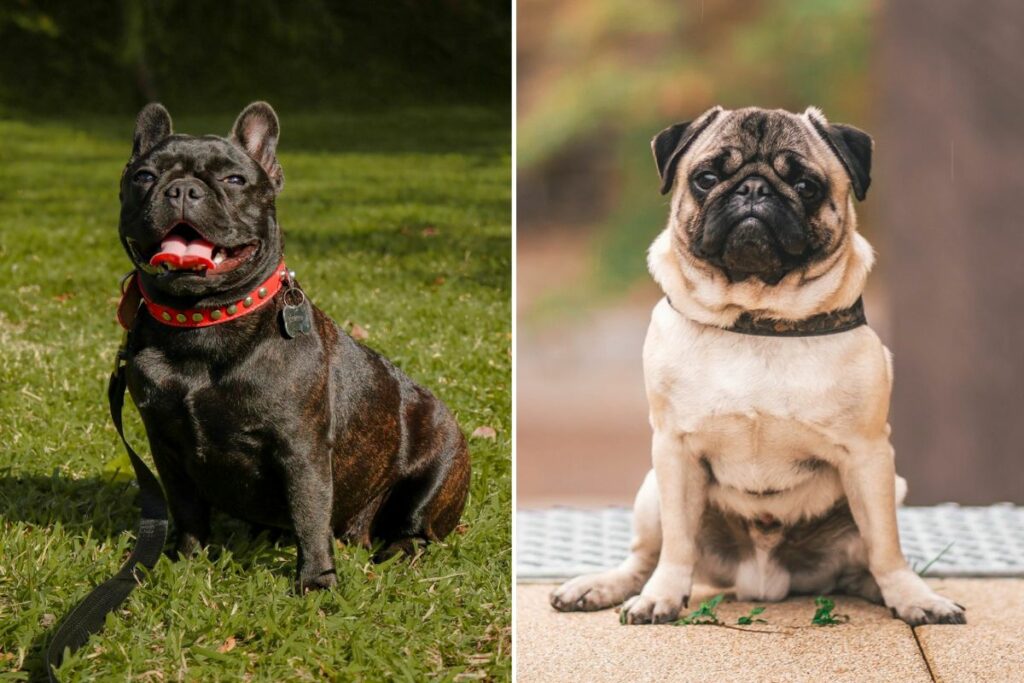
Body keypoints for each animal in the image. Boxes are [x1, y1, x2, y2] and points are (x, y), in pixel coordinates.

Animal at [117, 102, 468, 593]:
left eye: (234, 180)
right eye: (144, 176)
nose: (183, 188)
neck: (202, 322)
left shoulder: (300, 449)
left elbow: (309, 514)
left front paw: (317, 583)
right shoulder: (166, 445)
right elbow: (186, 508)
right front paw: (186, 560)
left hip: (438, 466)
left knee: (416, 527)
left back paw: (397, 549)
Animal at [548, 105, 962, 626]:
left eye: (806, 186)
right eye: (706, 178)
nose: (753, 189)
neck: (757, 318)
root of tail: (762, 580)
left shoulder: (868, 455)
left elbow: (887, 546)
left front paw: (912, 597)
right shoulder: (673, 450)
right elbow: (677, 545)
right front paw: (663, 595)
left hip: (890, 488)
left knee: (864, 560)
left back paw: (886, 589)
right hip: (650, 491)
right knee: (644, 557)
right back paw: (603, 587)